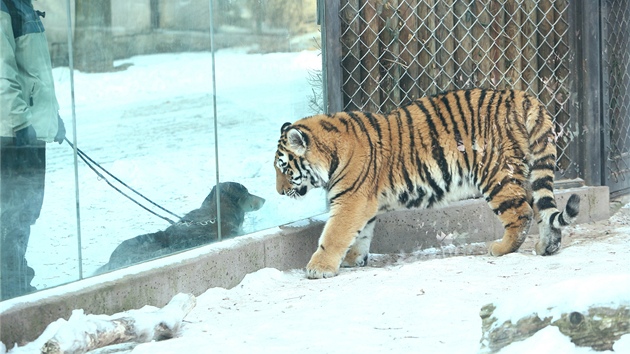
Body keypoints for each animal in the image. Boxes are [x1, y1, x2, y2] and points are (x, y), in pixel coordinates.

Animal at [276, 88, 584, 280]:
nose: (279, 191)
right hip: (528, 172)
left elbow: (333, 235)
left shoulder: (351, 200)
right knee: (542, 209)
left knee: (521, 213)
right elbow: (361, 233)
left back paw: (501, 248)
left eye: (283, 167)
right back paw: (547, 247)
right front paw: (354, 258)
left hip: (496, 174)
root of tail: (521, 95)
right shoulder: (364, 202)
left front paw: (319, 268)